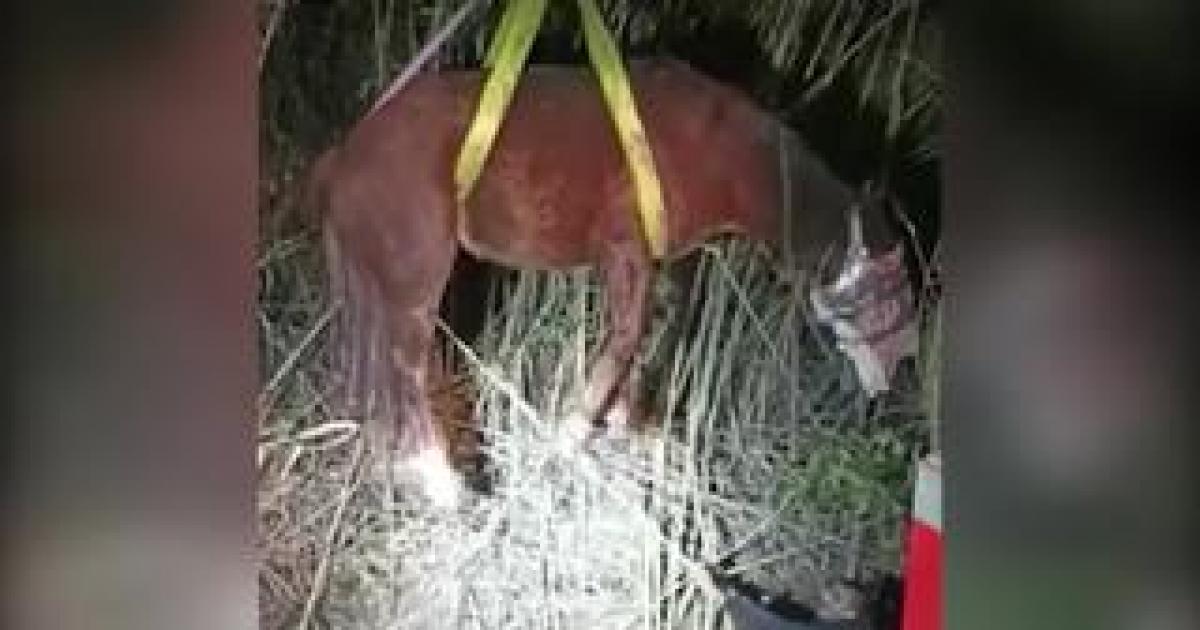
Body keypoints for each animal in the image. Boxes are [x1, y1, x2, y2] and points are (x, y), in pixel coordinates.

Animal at [304, 56, 912, 504]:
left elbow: (645, 338)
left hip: (366, 275)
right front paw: (572, 433)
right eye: (890, 294)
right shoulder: (624, 247)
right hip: (416, 272)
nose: (903, 370)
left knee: (365, 369)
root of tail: (342, 156)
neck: (731, 156)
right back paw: (440, 479)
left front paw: (622, 425)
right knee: (403, 368)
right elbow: (628, 338)